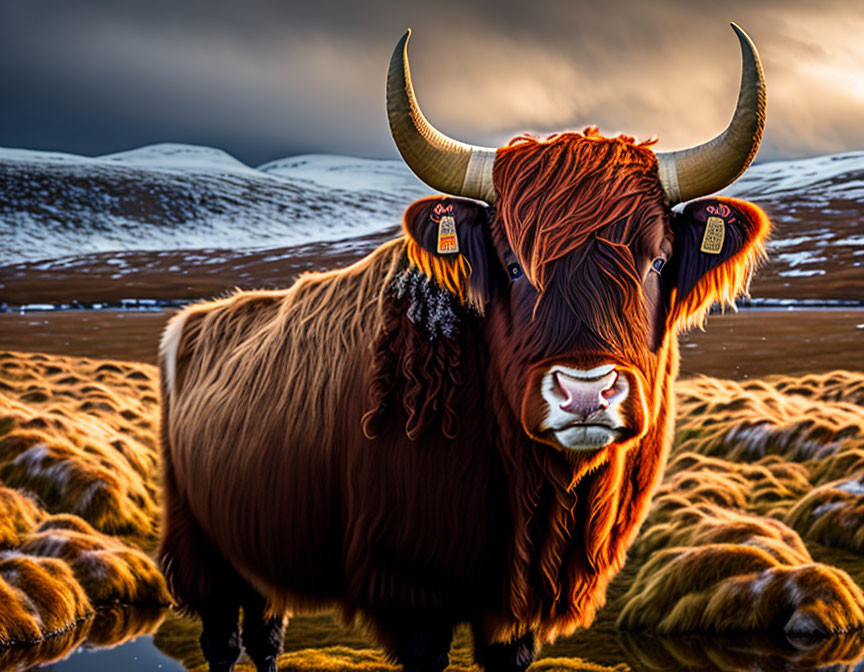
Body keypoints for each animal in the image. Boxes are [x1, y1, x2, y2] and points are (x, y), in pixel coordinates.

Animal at [160, 25, 768, 672]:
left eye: (656, 261)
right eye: (511, 264)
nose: (585, 393)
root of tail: (193, 323)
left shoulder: (516, 612)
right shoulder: (410, 591)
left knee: (266, 633)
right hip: (202, 549)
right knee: (223, 639)